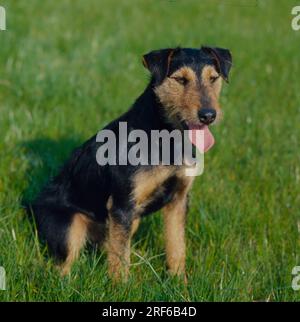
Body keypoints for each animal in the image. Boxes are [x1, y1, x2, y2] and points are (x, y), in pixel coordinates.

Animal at [31, 46, 232, 280]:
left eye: (213, 78)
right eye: (181, 79)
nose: (208, 115)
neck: (165, 137)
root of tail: (32, 205)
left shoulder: (178, 199)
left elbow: (176, 245)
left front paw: (179, 282)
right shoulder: (122, 205)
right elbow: (120, 260)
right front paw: (121, 286)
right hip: (70, 225)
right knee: (63, 264)